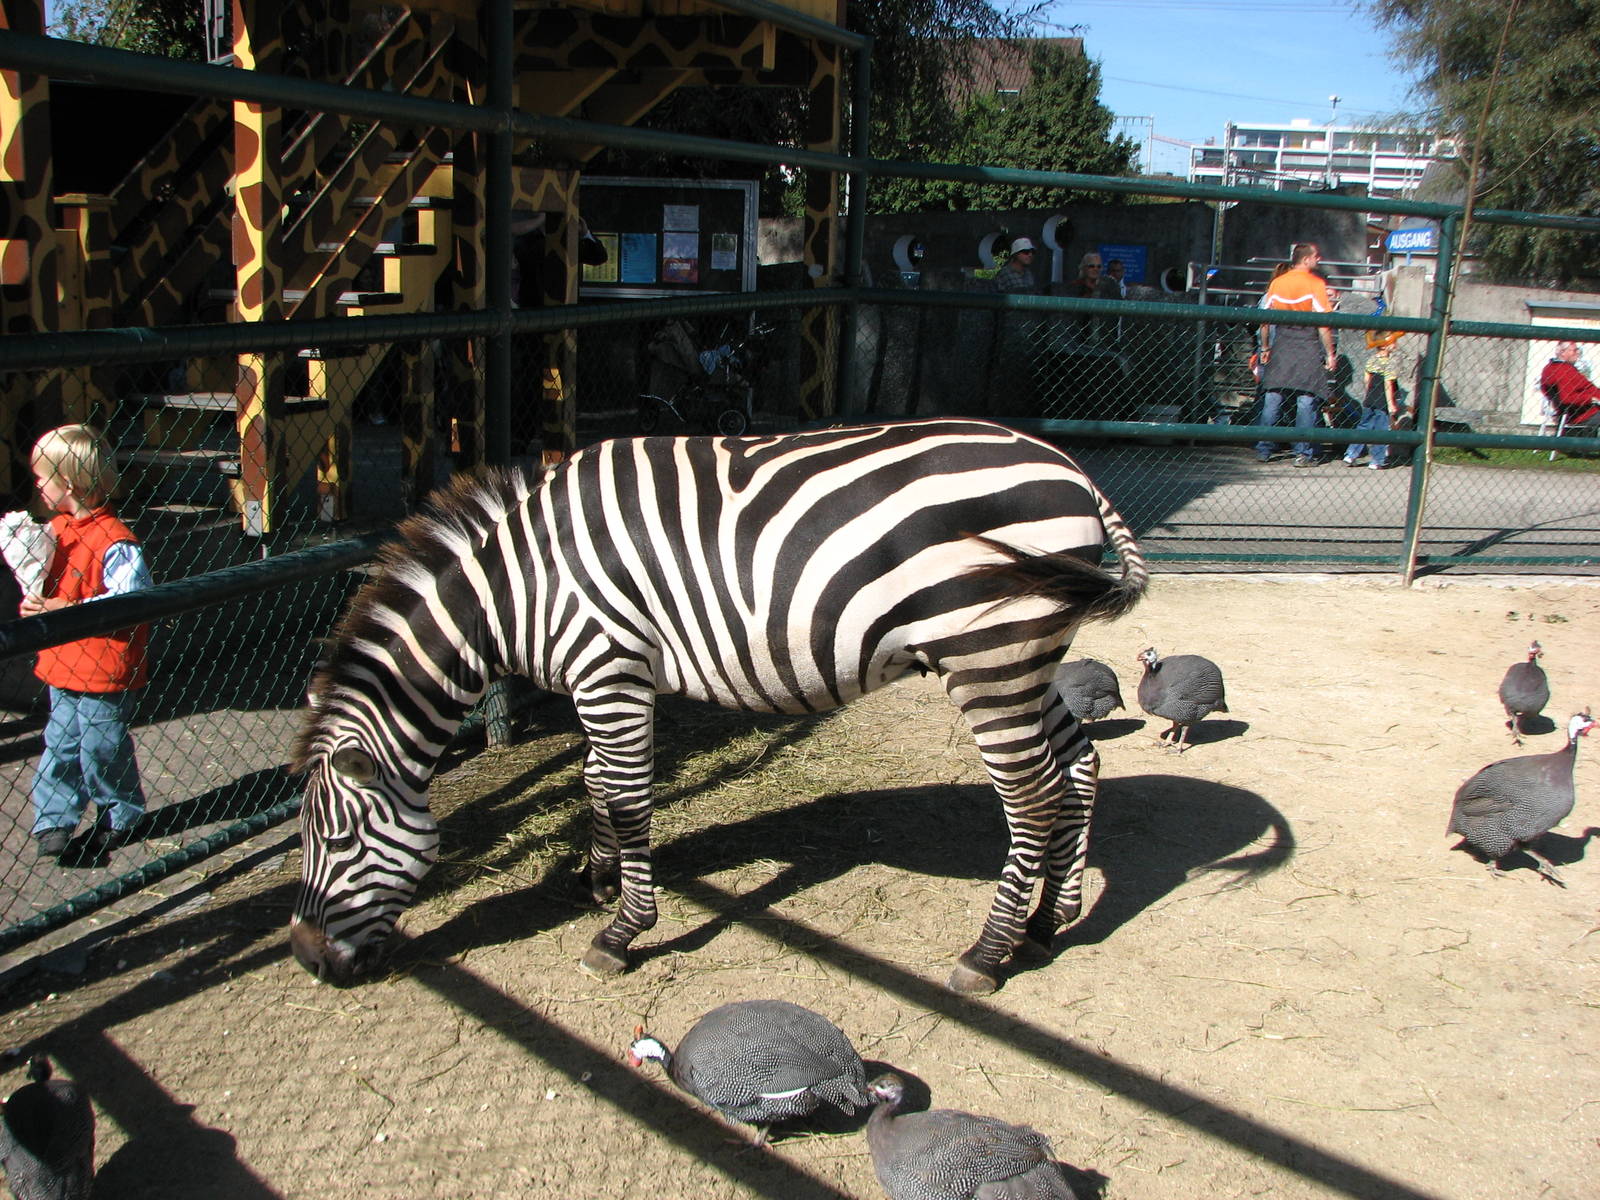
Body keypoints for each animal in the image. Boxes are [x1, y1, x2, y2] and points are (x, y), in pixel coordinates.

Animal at [289, 418, 1148, 995]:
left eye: (334, 841)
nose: (305, 958)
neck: (518, 588)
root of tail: (1072, 469)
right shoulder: (606, 677)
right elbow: (596, 783)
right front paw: (595, 876)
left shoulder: (607, 667)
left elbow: (628, 799)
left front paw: (621, 931)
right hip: (1025, 658)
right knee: (1079, 763)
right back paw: (1049, 921)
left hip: (989, 656)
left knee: (1032, 797)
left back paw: (986, 953)